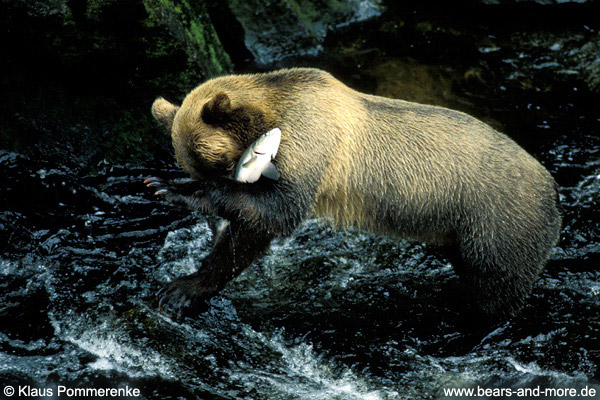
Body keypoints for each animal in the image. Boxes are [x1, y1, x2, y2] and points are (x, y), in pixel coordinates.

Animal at [146, 67, 564, 320]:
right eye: (194, 163)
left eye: (211, 164)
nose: (211, 224)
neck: (271, 116)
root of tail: (554, 188)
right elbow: (248, 236)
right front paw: (182, 288)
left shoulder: (311, 142)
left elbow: (277, 210)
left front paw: (168, 188)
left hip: (498, 220)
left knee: (495, 291)